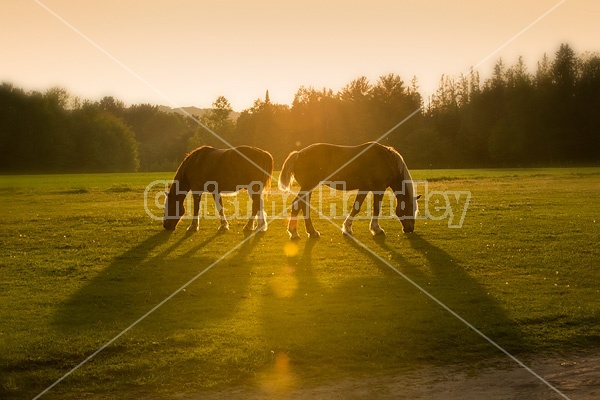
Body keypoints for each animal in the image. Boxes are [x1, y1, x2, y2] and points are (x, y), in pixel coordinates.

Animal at [278, 142, 422, 239]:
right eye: (410, 209)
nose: (410, 229)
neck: (387, 160)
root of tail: (298, 154)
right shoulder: (379, 188)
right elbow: (376, 208)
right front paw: (376, 229)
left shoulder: (365, 188)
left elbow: (356, 207)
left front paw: (347, 228)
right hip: (308, 186)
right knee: (297, 205)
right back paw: (295, 233)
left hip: (309, 187)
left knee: (303, 205)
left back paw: (310, 232)